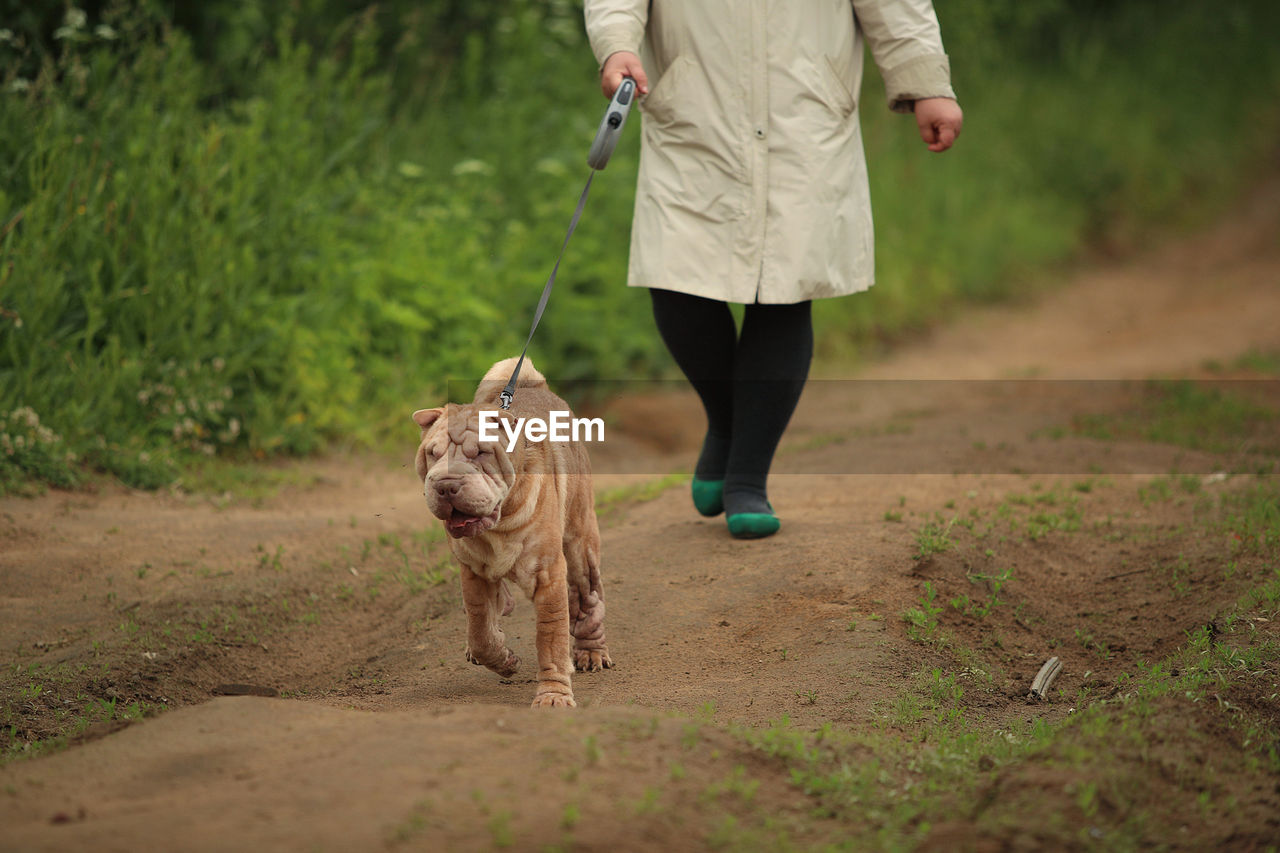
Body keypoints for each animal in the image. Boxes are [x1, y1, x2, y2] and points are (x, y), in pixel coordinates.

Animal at [409, 356, 609, 701]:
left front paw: (553, 696)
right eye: (433, 454)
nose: (446, 485)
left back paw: (592, 652)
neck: (499, 524)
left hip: (580, 543)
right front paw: (503, 660)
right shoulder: (473, 571)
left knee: (588, 599)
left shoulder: (548, 574)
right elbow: (480, 628)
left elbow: (551, 637)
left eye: (480, 452)